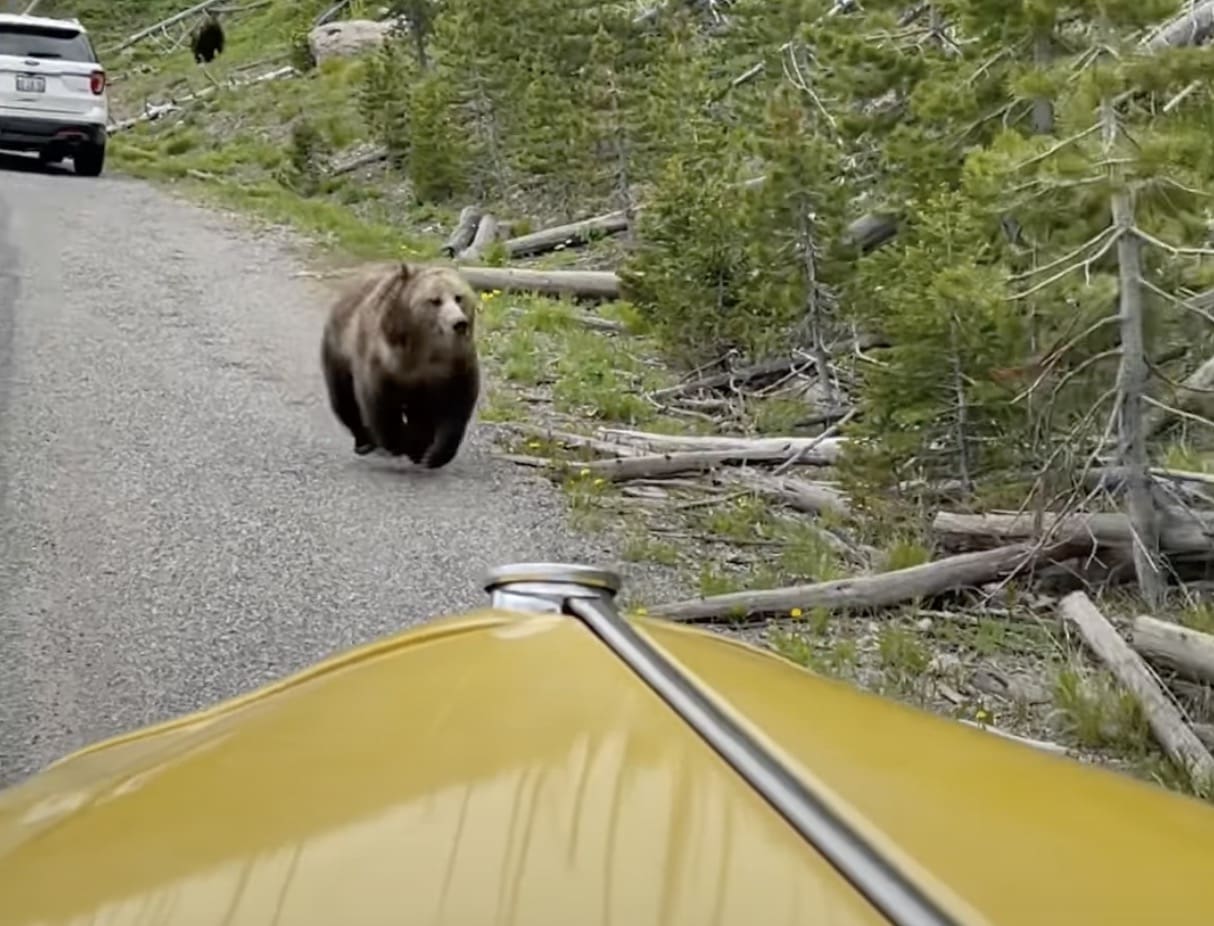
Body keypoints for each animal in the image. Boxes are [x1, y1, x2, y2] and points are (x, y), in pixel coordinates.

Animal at [322, 262, 483, 470]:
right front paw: (402, 444)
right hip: (339, 350)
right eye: (435, 300)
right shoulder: (384, 361)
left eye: (459, 297)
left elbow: (456, 406)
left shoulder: (454, 365)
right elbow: (380, 403)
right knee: (343, 398)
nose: (459, 323)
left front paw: (433, 455)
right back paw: (365, 442)